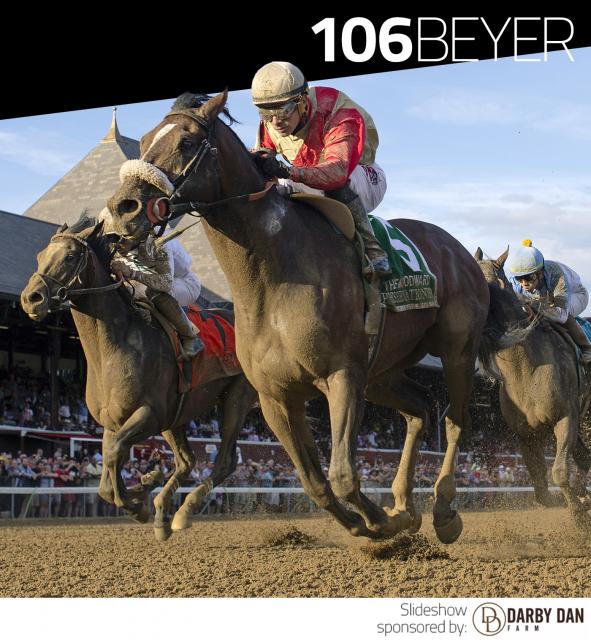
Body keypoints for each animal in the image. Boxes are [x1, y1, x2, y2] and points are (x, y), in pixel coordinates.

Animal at [20, 219, 257, 539]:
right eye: (39, 255)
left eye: (69, 256)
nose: (31, 299)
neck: (114, 347)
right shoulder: (113, 422)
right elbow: (107, 475)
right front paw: (145, 484)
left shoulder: (149, 414)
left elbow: (113, 456)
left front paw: (139, 502)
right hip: (177, 416)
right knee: (187, 461)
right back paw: (162, 512)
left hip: (235, 399)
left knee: (224, 461)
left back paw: (183, 511)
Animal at [105, 91, 490, 543]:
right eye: (146, 139)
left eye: (186, 141)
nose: (122, 208)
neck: (272, 279)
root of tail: (460, 250)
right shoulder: (277, 397)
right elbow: (314, 481)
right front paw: (372, 524)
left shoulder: (342, 377)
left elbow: (342, 475)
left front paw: (380, 523)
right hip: (383, 372)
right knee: (420, 410)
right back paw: (403, 503)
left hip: (456, 350)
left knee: (456, 421)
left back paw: (443, 511)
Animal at [475, 247, 591, 527]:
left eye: (490, 282)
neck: (526, 371)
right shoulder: (526, 435)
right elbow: (541, 491)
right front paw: (580, 502)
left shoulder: (566, 418)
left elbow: (559, 472)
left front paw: (579, 514)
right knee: (584, 459)